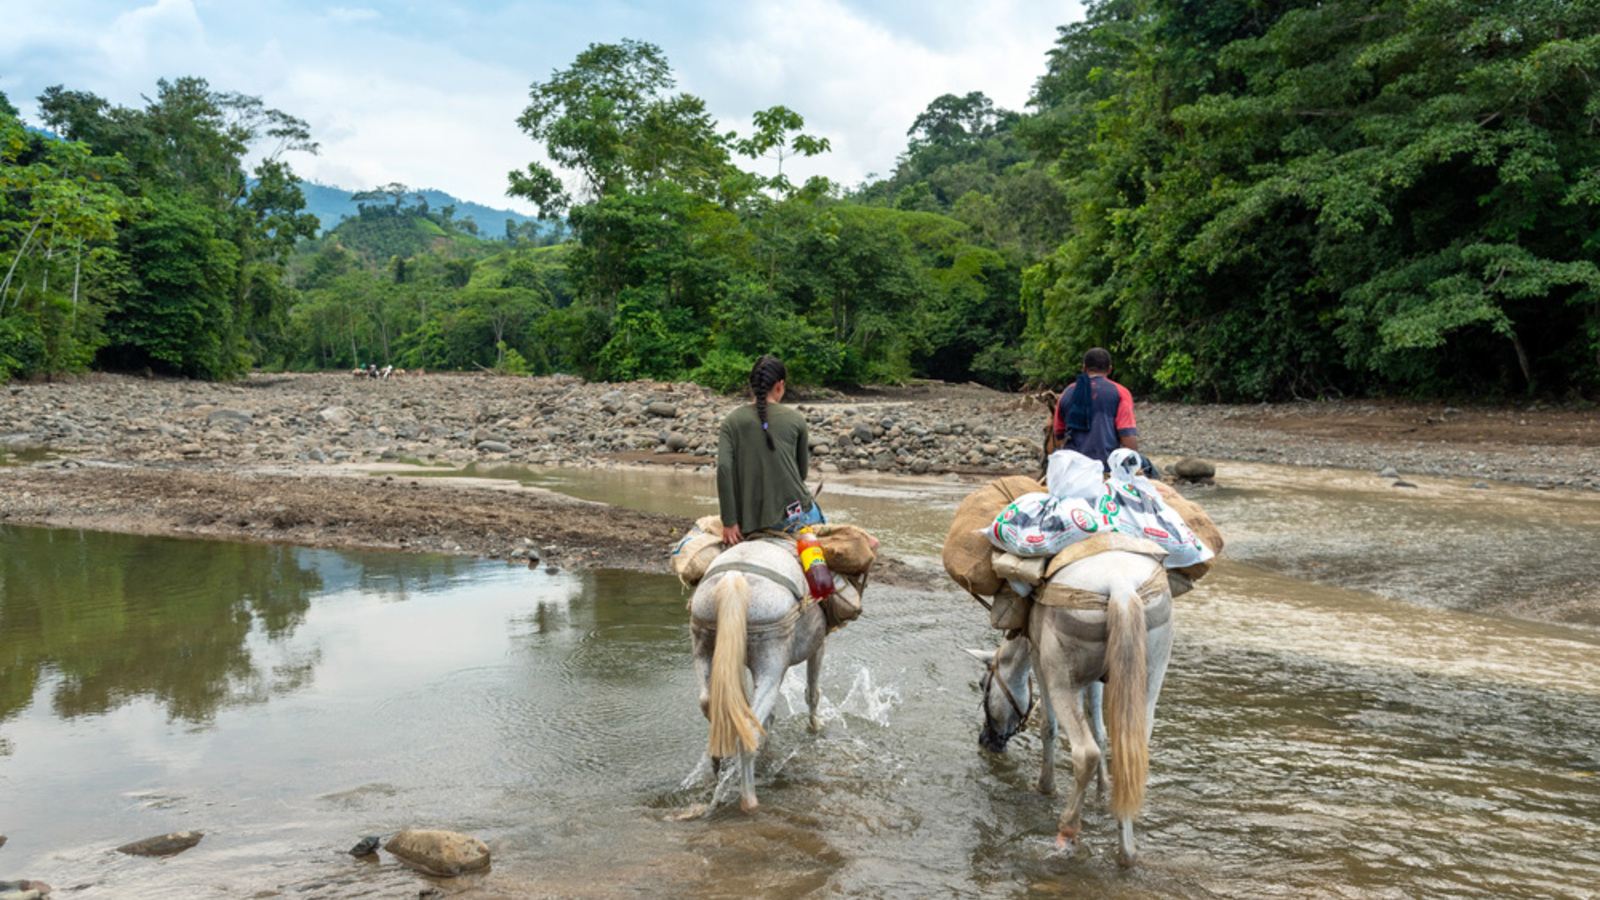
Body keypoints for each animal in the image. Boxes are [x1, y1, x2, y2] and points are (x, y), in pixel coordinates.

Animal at [691, 534, 832, 810]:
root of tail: (735, 577)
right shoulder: (818, 646)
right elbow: (812, 692)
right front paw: (815, 726)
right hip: (770, 664)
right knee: (747, 731)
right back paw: (750, 801)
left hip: (704, 647)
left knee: (710, 705)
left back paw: (719, 765)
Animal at [960, 544, 1177, 864]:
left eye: (981, 683)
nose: (985, 740)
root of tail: (1122, 587)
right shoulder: (1097, 680)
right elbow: (1101, 731)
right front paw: (1103, 790)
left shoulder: (1040, 661)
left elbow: (1049, 728)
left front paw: (1045, 787)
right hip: (1149, 680)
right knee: (1131, 753)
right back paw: (1126, 852)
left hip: (1061, 679)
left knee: (1085, 753)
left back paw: (1067, 832)